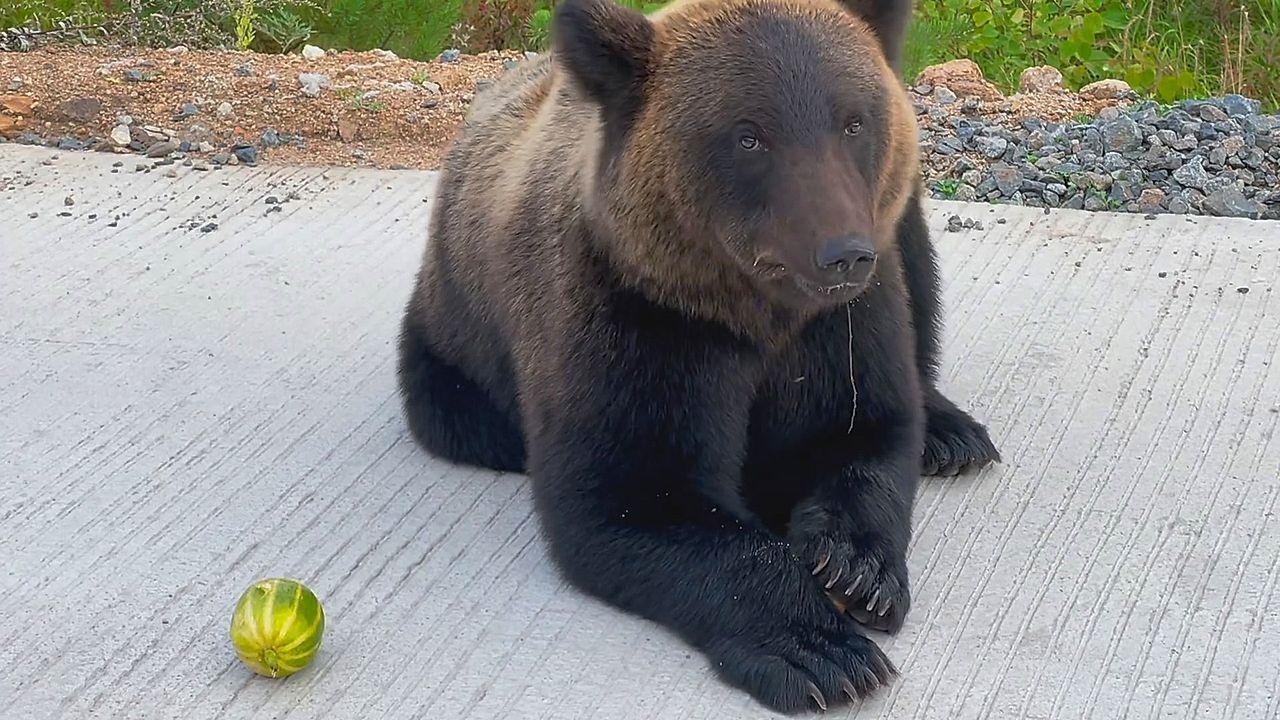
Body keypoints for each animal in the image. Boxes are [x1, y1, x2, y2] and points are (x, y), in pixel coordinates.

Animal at [395, 0, 1000, 712]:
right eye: (749, 136)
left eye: (853, 121)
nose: (841, 253)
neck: (750, 312)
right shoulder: (640, 323)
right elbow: (635, 494)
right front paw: (819, 650)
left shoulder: (842, 326)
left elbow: (863, 432)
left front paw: (856, 567)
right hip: (456, 343)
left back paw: (953, 434)